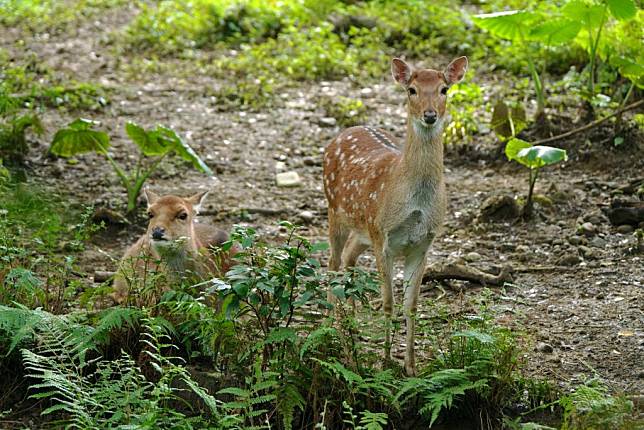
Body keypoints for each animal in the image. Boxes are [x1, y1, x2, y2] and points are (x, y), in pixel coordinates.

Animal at [322, 56, 468, 372]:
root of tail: (345, 131)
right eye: (412, 90)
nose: (429, 115)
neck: (415, 203)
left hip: (363, 227)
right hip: (336, 211)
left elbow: (411, 306)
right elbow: (389, 302)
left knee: (349, 256)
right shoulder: (384, 238)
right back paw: (333, 325)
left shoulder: (423, 243)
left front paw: (411, 366)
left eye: (444, 89)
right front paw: (385, 361)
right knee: (332, 262)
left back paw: (352, 321)